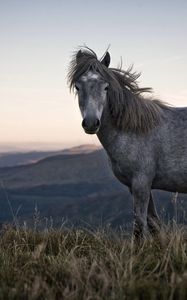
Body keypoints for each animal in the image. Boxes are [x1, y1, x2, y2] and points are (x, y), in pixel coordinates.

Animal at [68, 47, 186, 238]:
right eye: (78, 87)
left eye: (106, 87)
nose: (91, 123)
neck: (134, 129)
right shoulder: (136, 186)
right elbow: (153, 223)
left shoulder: (141, 184)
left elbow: (139, 226)